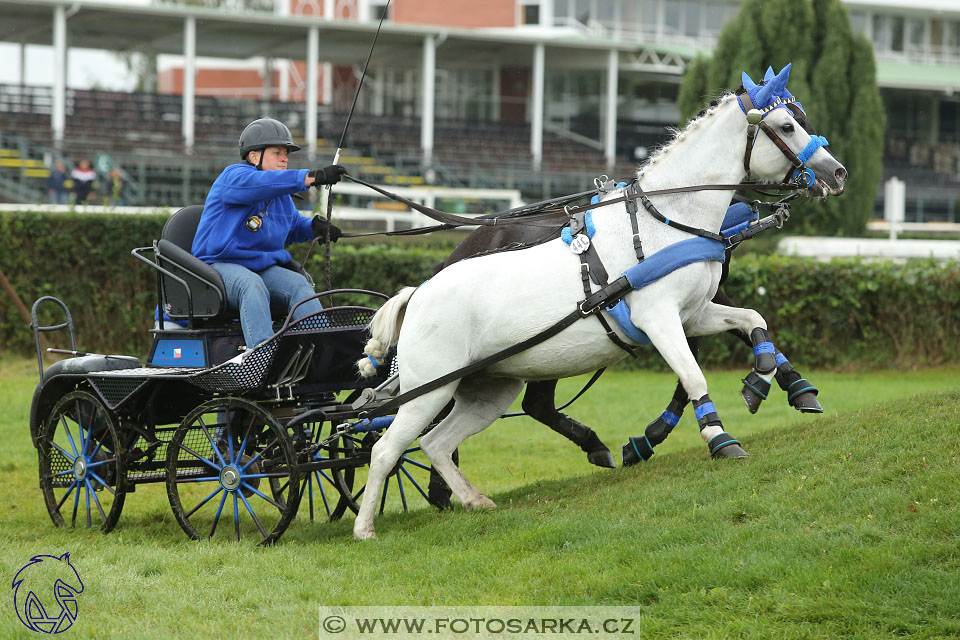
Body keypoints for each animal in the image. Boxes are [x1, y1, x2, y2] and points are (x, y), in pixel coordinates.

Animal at [350, 65, 840, 536]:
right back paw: (365, 528)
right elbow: (693, 376)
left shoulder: (695, 314)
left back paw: (472, 499)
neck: (666, 221)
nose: (837, 173)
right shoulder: (660, 319)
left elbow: (754, 321)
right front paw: (718, 439)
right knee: (387, 449)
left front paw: (764, 382)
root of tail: (419, 292)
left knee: (438, 443)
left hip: (486, 388)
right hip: (430, 390)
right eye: (786, 125)